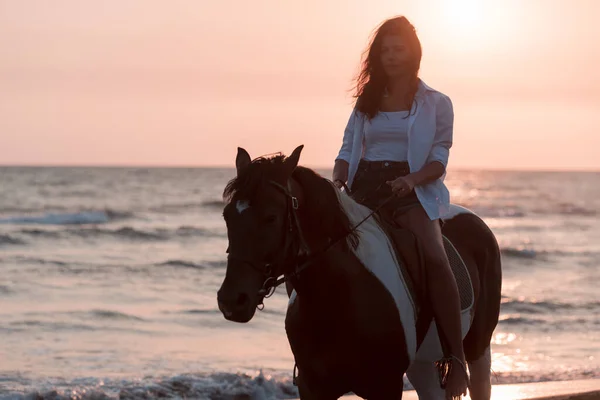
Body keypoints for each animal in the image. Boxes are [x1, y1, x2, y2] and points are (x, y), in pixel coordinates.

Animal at [216, 146, 502, 400]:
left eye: (271, 217)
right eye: (227, 216)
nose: (232, 301)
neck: (339, 294)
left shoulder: (386, 386)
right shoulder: (313, 387)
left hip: (478, 347)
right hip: (422, 363)